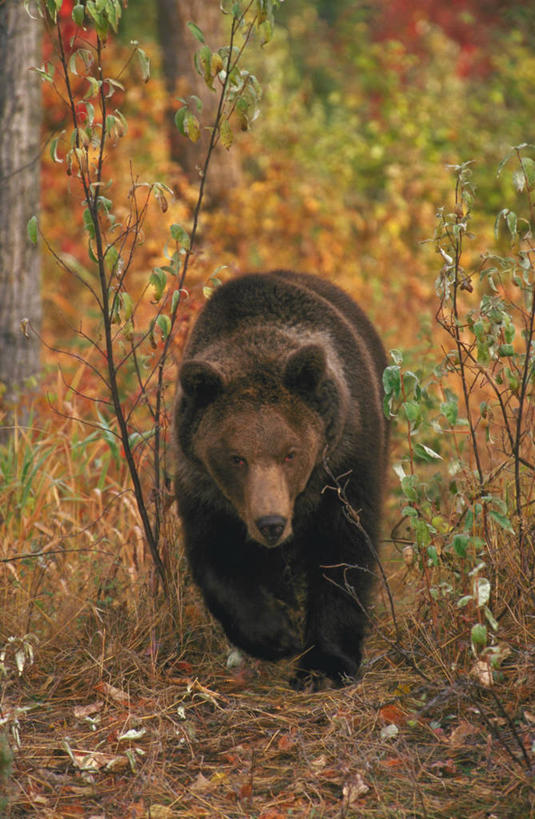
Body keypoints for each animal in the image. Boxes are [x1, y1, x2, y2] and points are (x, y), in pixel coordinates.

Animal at [175, 270, 390, 684]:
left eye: (291, 452)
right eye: (237, 458)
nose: (271, 523)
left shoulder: (345, 465)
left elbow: (342, 554)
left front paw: (323, 665)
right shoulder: (204, 488)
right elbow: (217, 560)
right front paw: (275, 635)